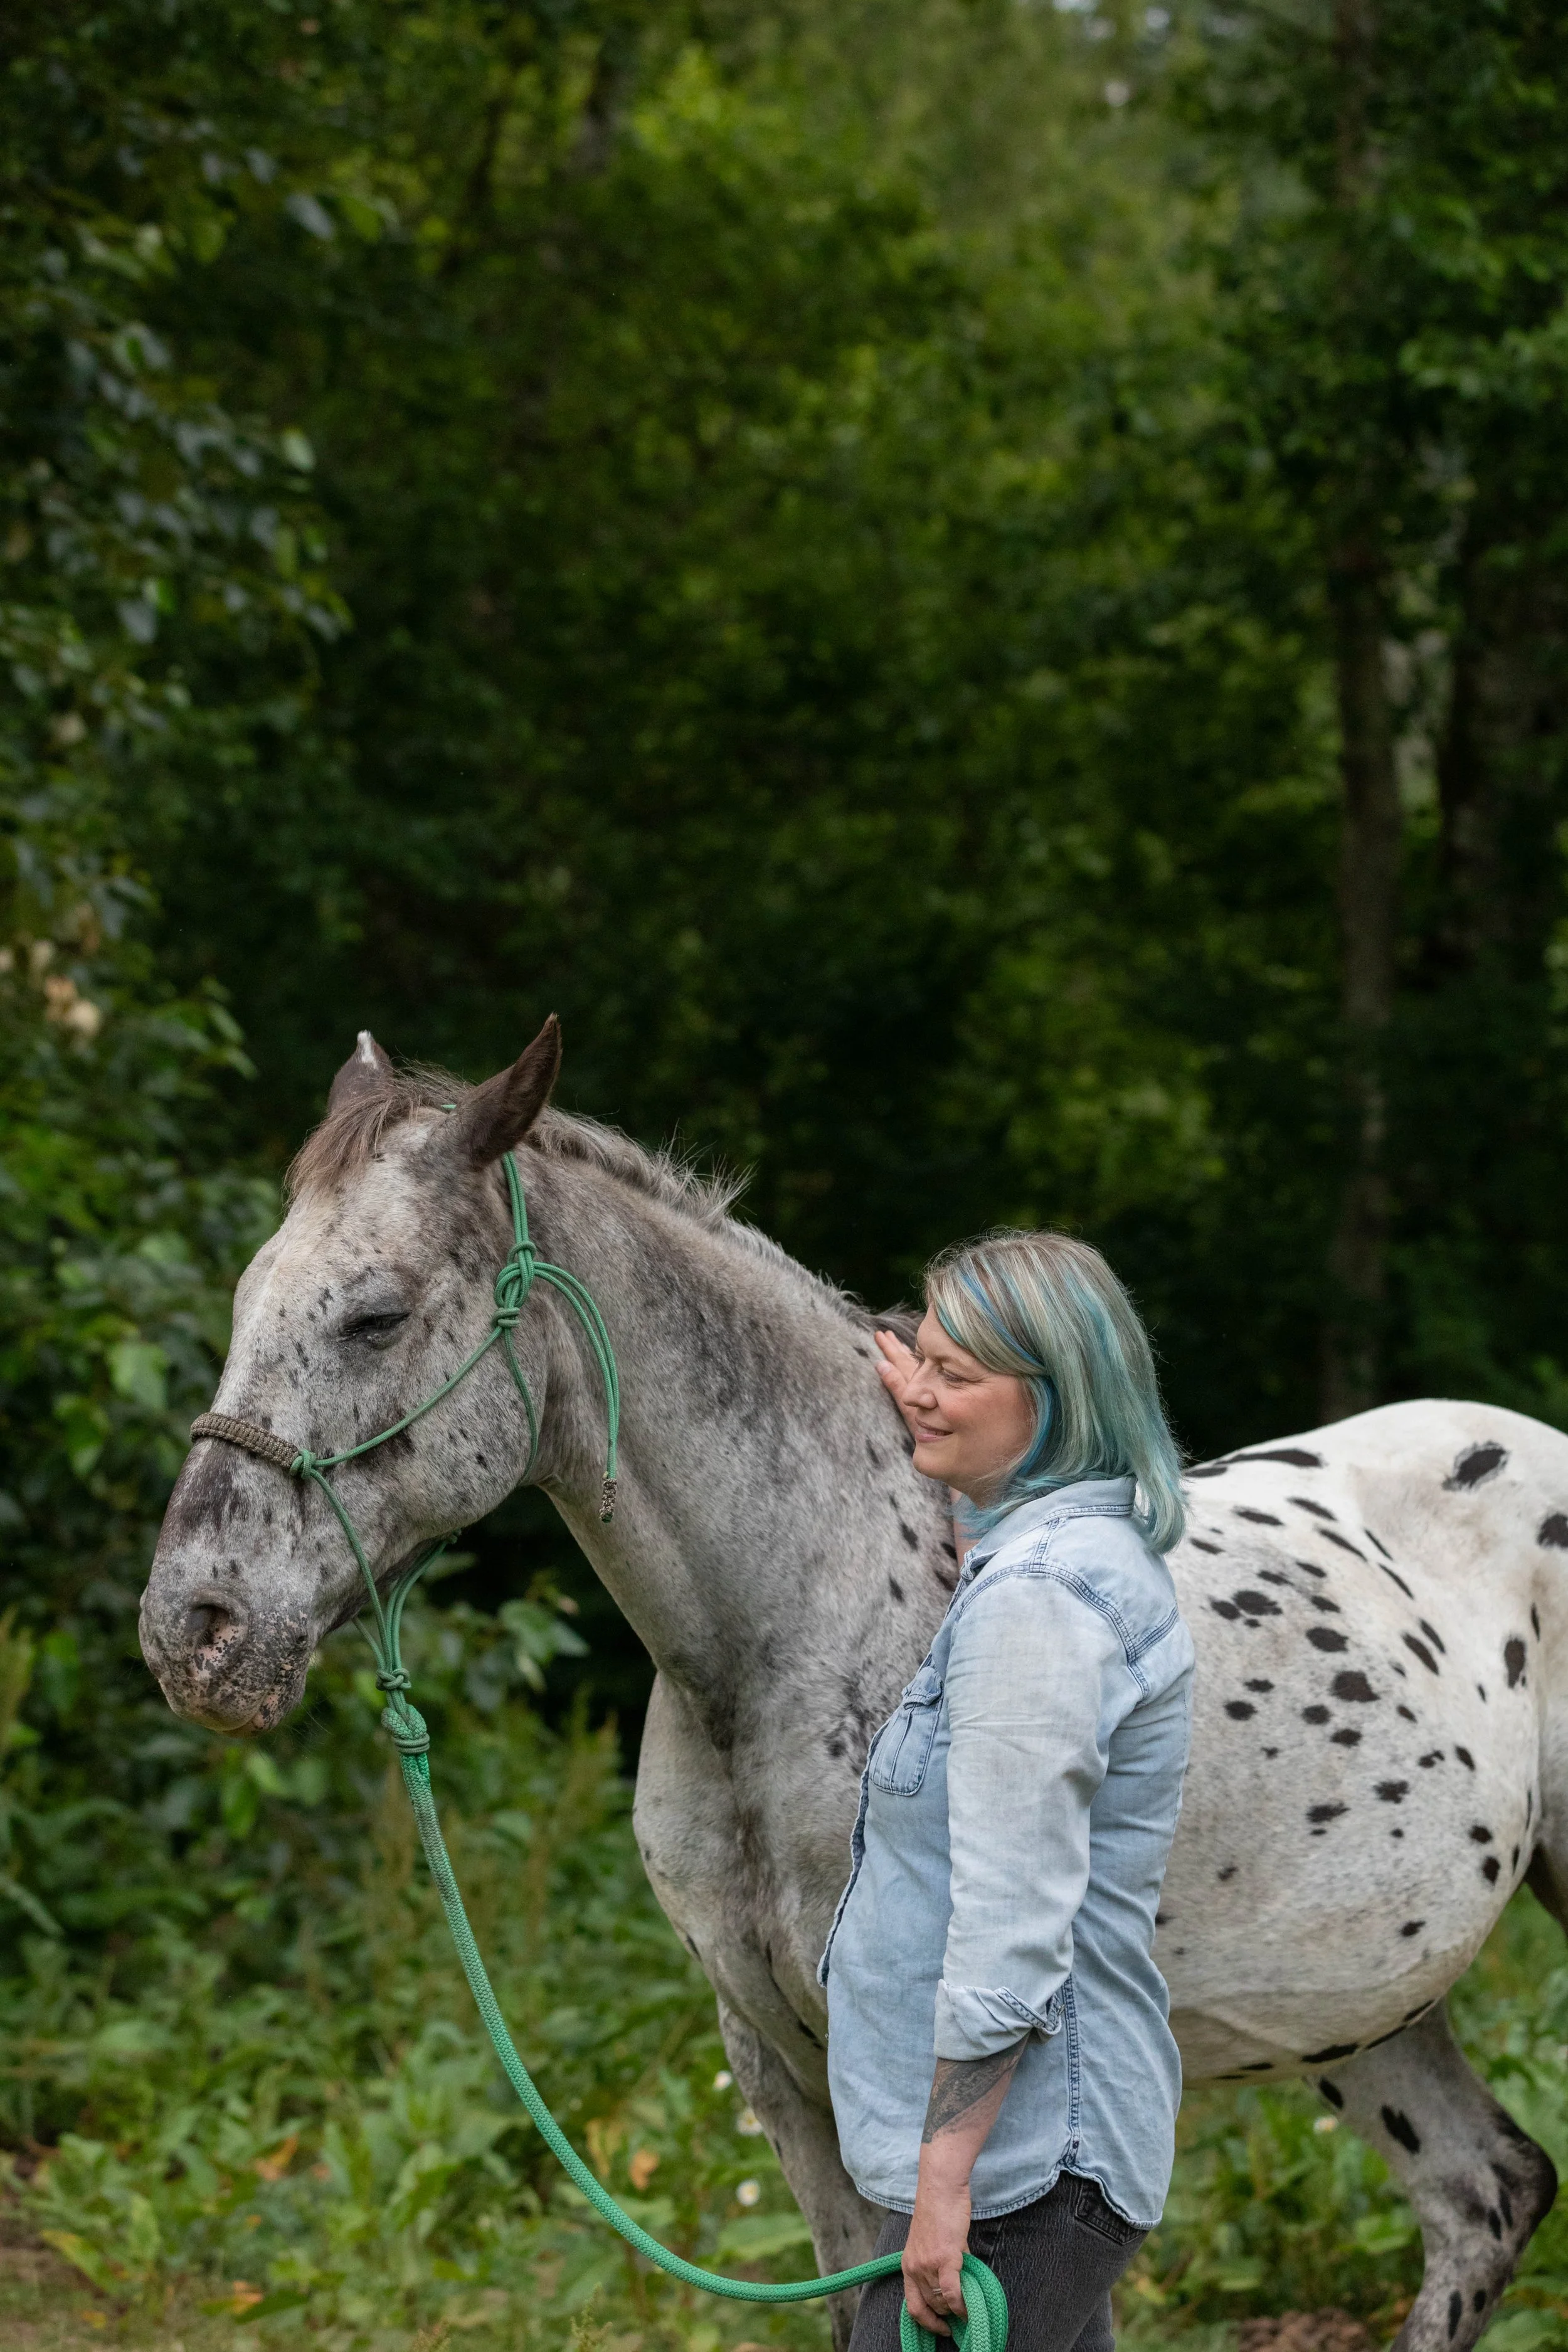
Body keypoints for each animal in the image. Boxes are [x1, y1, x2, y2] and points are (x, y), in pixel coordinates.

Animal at [140, 1024, 1567, 2352]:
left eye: (375, 1315)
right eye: (247, 1299)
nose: (193, 1630)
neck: (794, 1628)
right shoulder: (778, 2066)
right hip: (1371, 2004)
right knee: (1484, 2194)